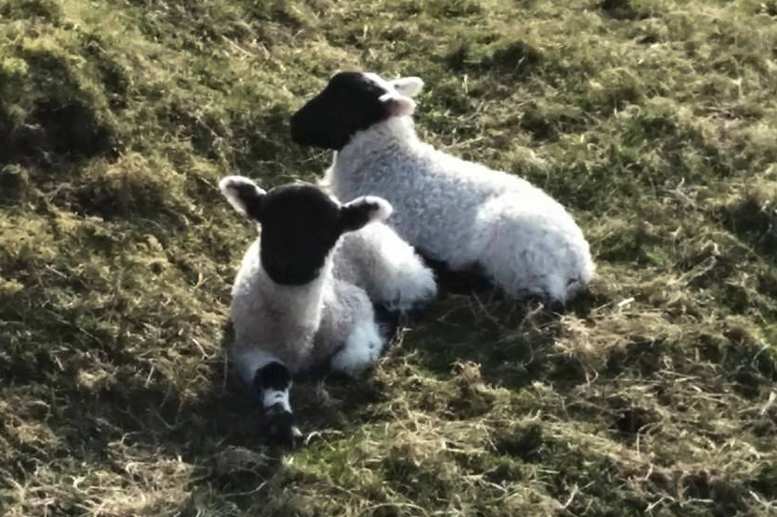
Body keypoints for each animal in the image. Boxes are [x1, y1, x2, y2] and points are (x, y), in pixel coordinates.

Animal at [221, 175, 434, 446]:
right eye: (266, 221)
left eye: (330, 231)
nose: (288, 268)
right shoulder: (249, 347)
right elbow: (274, 374)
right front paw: (282, 424)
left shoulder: (357, 307)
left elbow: (344, 362)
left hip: (395, 272)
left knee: (419, 292)